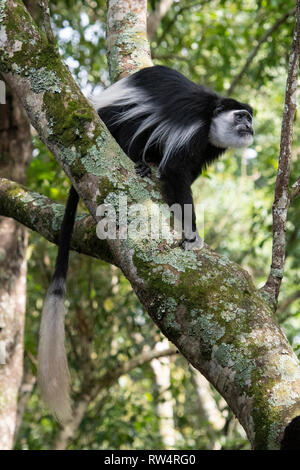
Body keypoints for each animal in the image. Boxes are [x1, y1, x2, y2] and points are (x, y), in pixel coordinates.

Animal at [37, 64, 253, 420]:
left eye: (249, 118)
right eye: (241, 116)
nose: (249, 127)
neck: (211, 118)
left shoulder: (209, 146)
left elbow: (187, 170)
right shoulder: (193, 129)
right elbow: (176, 170)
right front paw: (191, 233)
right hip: (109, 123)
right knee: (133, 123)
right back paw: (137, 160)